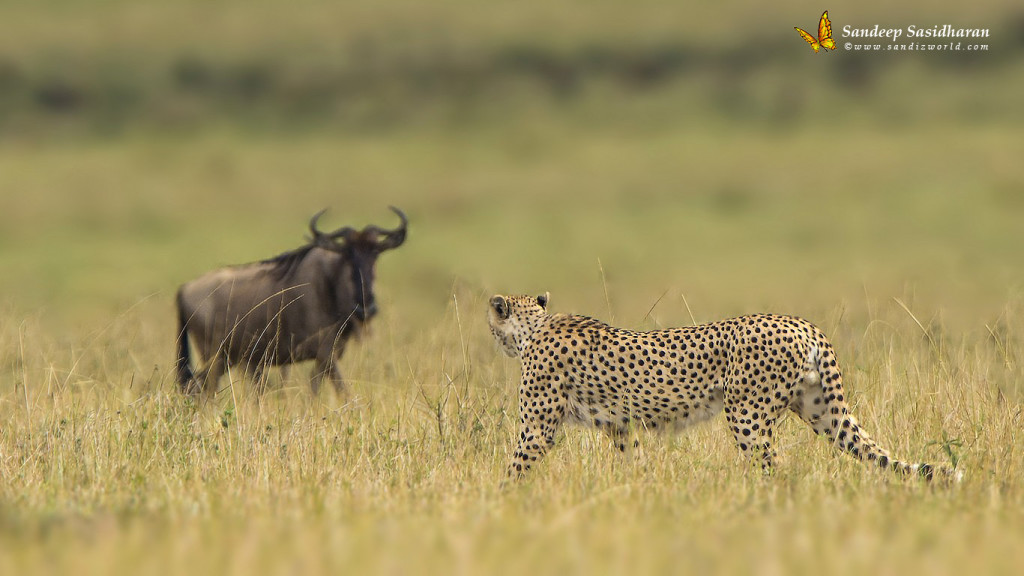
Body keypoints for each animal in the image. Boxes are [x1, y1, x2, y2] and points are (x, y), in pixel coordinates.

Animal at [487, 291, 958, 479]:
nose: (494, 338)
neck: (534, 329)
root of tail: (802, 324)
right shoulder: (622, 428)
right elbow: (637, 462)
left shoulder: (538, 429)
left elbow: (515, 468)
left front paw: (498, 504)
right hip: (822, 411)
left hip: (748, 416)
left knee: (773, 469)